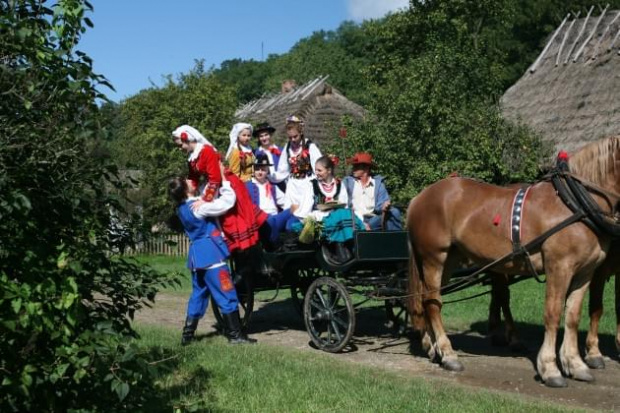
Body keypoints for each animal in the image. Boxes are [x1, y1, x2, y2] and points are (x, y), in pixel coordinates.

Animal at [406, 135, 620, 386]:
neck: (574, 203)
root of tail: (419, 197)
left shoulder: (586, 272)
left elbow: (572, 316)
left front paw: (575, 364)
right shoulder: (559, 266)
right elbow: (553, 313)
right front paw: (550, 369)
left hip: (449, 260)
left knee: (426, 300)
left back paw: (433, 348)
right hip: (434, 258)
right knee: (433, 303)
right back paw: (448, 354)